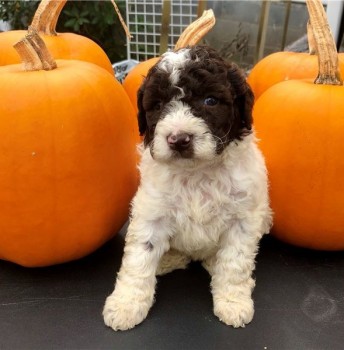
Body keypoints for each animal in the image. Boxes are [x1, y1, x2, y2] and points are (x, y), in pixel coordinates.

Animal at [102, 45, 272, 330]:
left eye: (210, 101)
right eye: (158, 105)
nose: (178, 139)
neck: (196, 172)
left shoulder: (244, 218)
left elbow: (235, 263)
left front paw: (233, 302)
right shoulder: (151, 212)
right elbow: (139, 258)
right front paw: (126, 304)